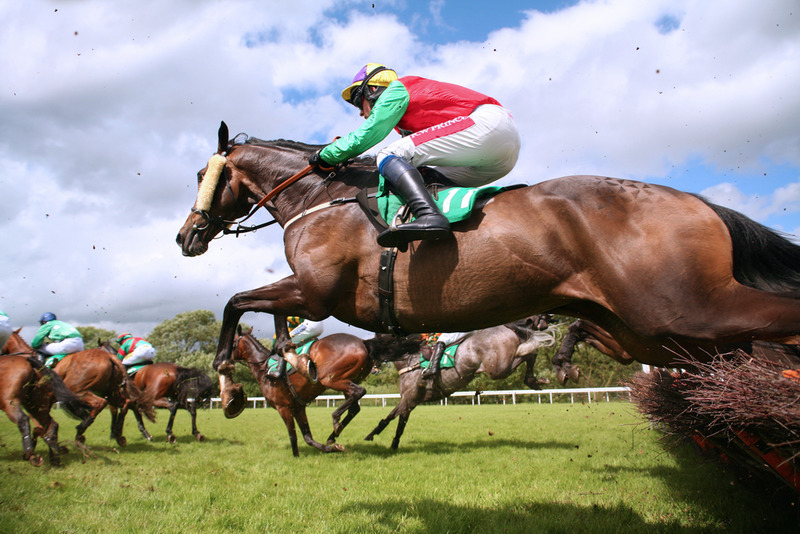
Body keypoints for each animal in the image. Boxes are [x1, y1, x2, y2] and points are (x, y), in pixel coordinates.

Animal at [176, 122, 800, 417]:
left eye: (203, 176)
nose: (186, 236)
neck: (320, 198)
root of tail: (695, 201)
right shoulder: (310, 297)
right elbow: (249, 311)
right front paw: (274, 362)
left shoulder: (315, 292)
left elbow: (233, 304)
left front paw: (228, 384)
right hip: (650, 332)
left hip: (685, 310)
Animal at [232, 326, 418, 456]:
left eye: (232, 342)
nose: (225, 360)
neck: (263, 368)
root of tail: (363, 342)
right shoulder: (298, 407)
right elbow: (307, 436)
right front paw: (330, 448)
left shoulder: (283, 407)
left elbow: (293, 435)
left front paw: (296, 456)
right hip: (348, 378)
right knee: (354, 406)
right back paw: (333, 435)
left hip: (330, 378)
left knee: (359, 392)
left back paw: (335, 420)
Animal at [364, 315, 557, 450]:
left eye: (379, 337)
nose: (372, 365)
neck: (409, 360)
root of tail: (505, 327)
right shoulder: (411, 401)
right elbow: (399, 424)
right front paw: (392, 443)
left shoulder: (409, 399)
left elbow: (390, 418)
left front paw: (371, 435)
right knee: (531, 352)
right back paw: (535, 381)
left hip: (497, 368)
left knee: (529, 352)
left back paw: (534, 379)